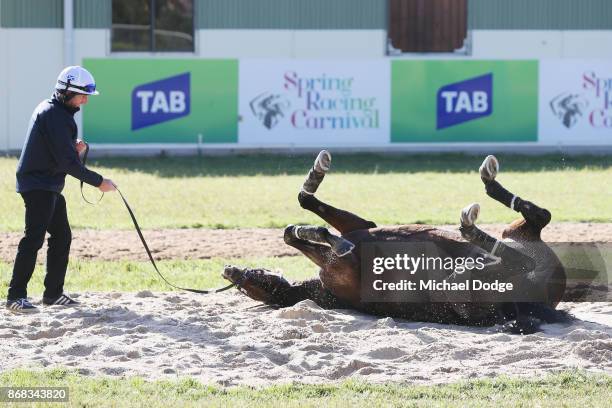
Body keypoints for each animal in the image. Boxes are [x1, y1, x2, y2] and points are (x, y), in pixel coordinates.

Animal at [224, 151, 568, 334]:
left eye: (248, 280)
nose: (230, 270)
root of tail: (534, 304)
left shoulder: (361, 227)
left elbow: (299, 213)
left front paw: (314, 180)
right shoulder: (342, 265)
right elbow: (326, 242)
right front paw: (330, 239)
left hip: (517, 235)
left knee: (538, 217)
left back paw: (487, 189)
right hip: (462, 290)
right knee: (521, 253)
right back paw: (470, 227)